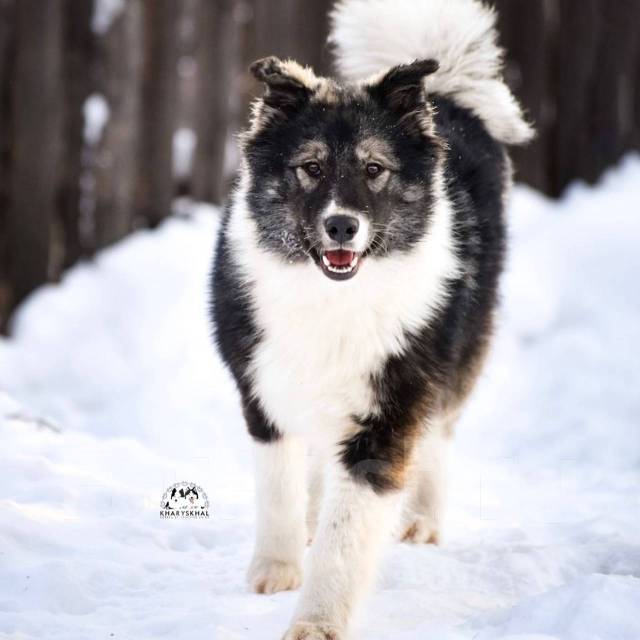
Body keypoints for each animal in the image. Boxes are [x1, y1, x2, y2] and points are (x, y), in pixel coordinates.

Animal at [210, 1, 528, 636]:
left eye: (375, 169)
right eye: (310, 166)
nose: (341, 225)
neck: (333, 298)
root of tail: (447, 97)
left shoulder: (390, 411)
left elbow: (346, 535)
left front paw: (316, 620)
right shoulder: (263, 389)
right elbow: (279, 491)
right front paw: (275, 571)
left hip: (456, 354)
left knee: (437, 435)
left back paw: (422, 520)